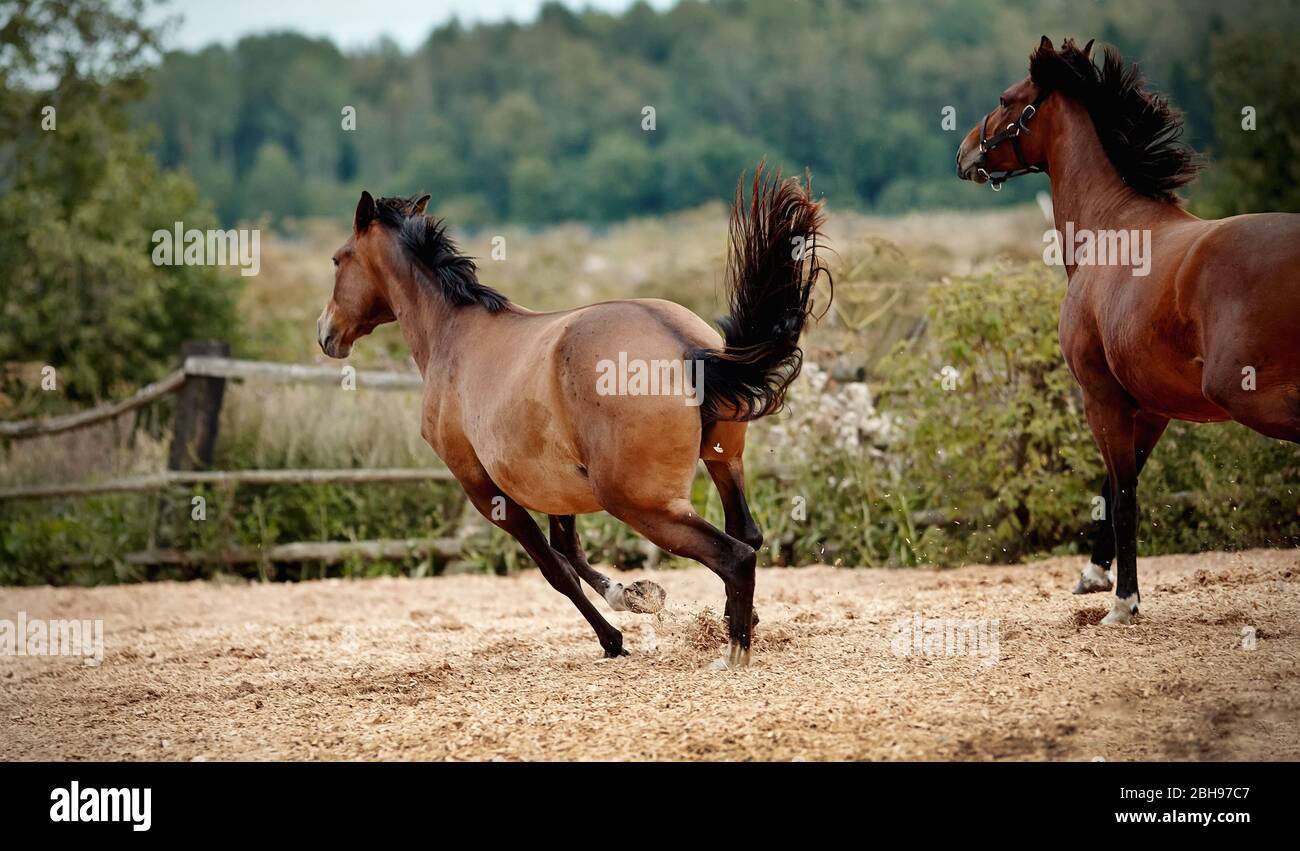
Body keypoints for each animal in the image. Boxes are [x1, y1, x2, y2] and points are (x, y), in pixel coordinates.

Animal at [316, 165, 830, 665]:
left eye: (338, 259)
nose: (326, 333)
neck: (455, 333)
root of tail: (687, 347)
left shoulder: (484, 489)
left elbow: (555, 568)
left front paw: (614, 636)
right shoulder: (556, 486)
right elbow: (568, 550)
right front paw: (632, 594)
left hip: (639, 502)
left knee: (734, 555)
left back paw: (734, 652)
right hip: (723, 461)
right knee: (748, 534)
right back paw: (738, 624)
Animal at [957, 37, 1300, 624]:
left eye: (1006, 99)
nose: (963, 154)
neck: (1108, 228)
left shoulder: (1101, 397)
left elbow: (1123, 499)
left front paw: (1123, 602)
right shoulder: (1152, 408)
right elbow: (1117, 485)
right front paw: (1093, 575)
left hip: (1250, 395)